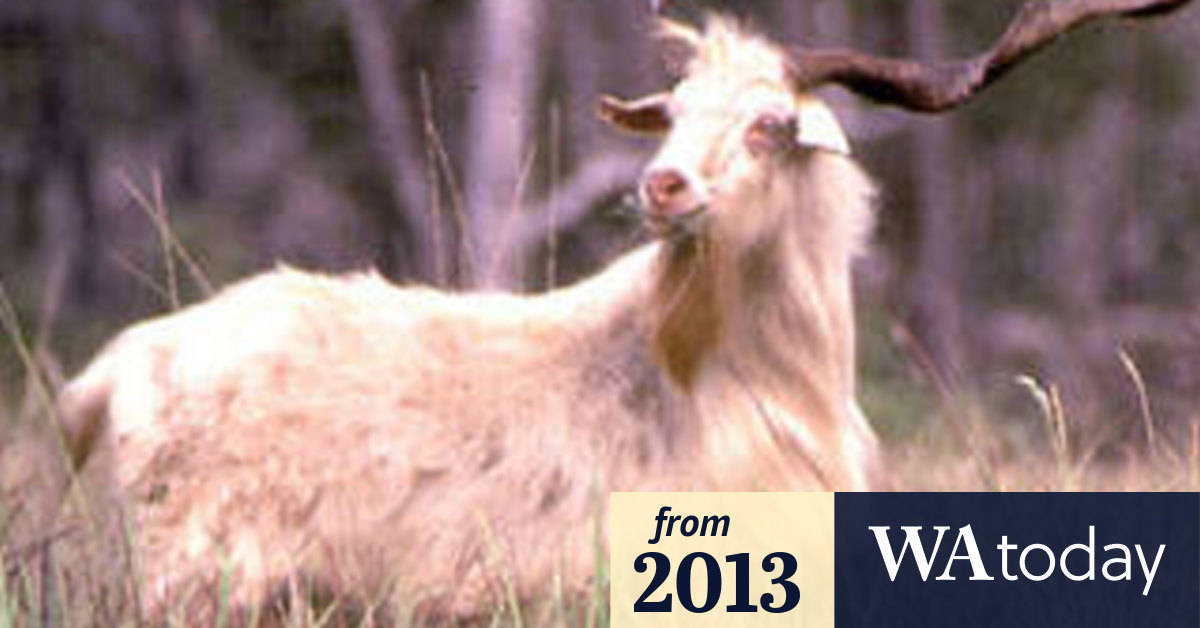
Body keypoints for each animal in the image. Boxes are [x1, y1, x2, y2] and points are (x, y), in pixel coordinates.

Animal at [51, 0, 1191, 619]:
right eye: (676, 113)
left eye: (771, 123)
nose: (663, 186)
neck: (729, 377)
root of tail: (118, 369)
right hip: (195, 576)